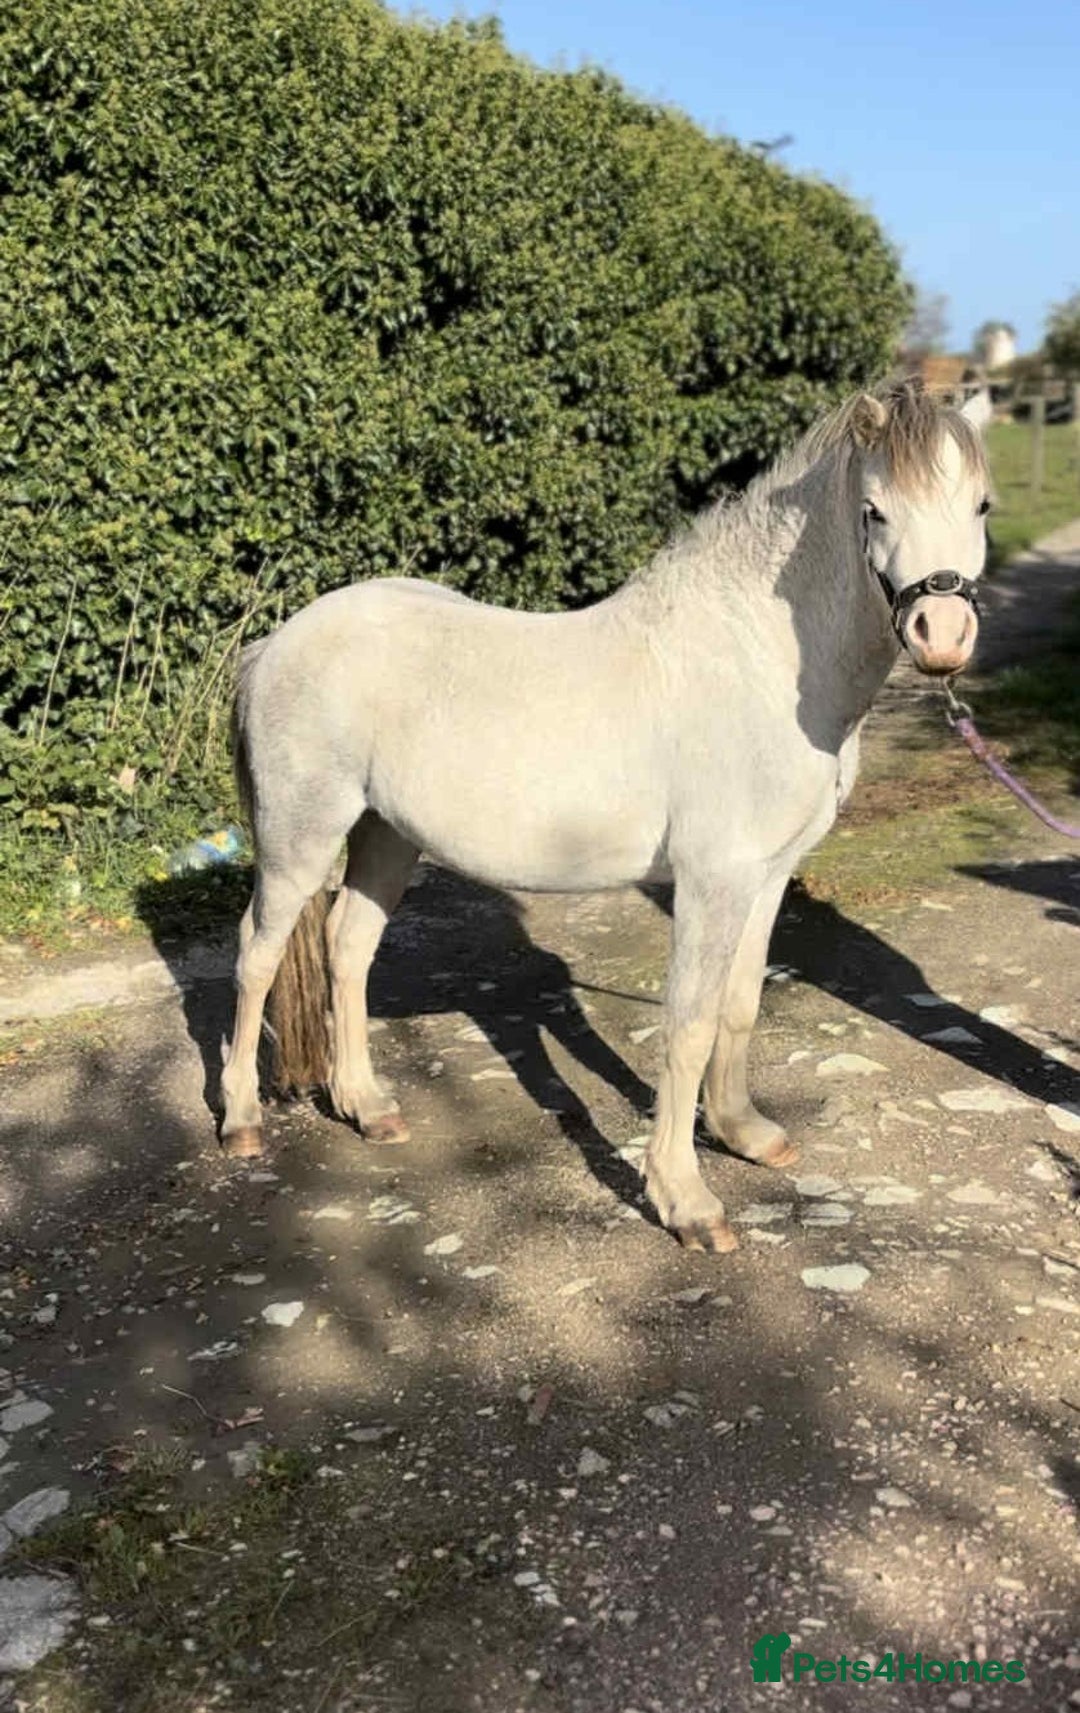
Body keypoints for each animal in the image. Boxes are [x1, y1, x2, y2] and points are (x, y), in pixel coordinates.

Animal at [220, 380, 991, 1252]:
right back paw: (241, 1120)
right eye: (874, 510)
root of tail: (273, 645)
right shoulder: (711, 881)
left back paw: (369, 1107)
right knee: (257, 954)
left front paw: (744, 1133)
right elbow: (688, 1023)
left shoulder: (767, 877)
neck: (759, 660)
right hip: (301, 837)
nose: (943, 636)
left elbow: (740, 1003)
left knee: (348, 947)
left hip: (386, 835)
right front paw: (686, 1200)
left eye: (981, 505)